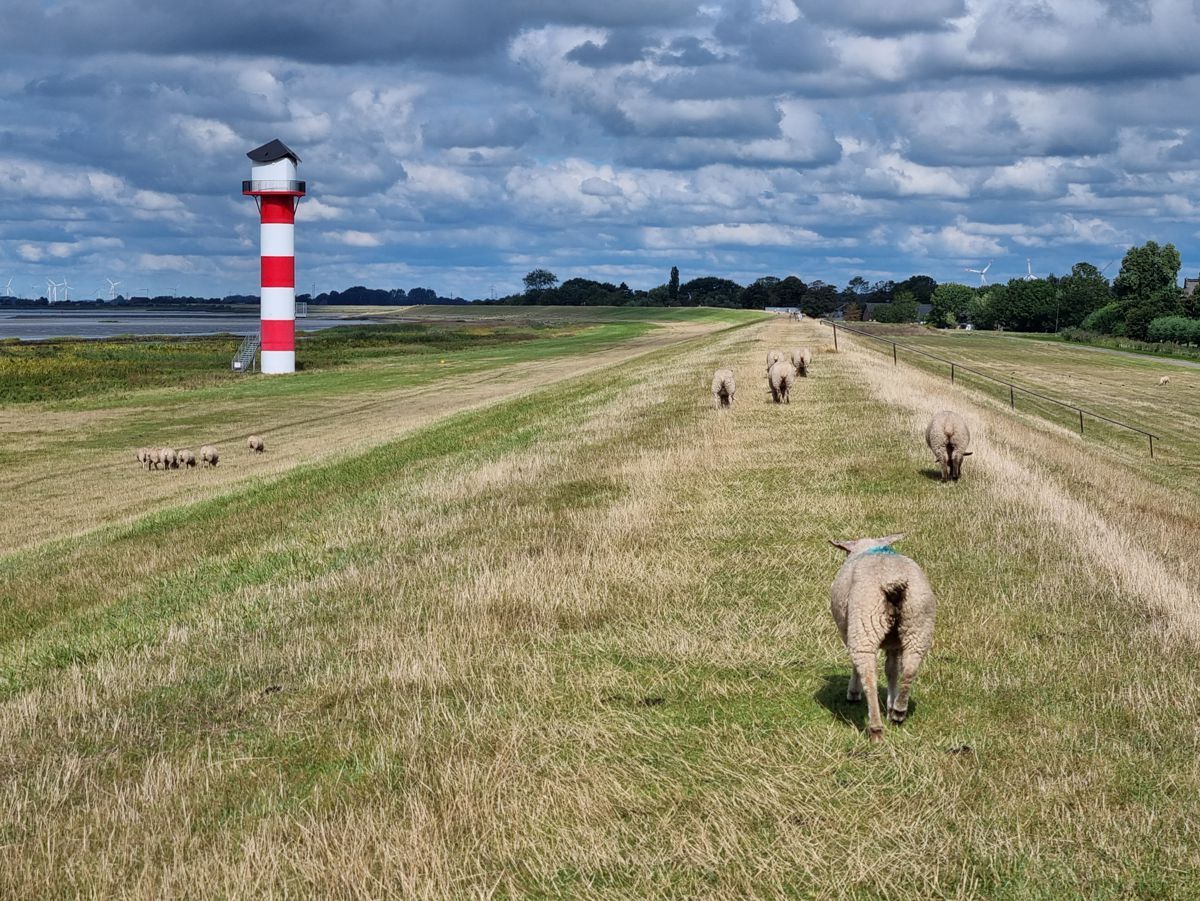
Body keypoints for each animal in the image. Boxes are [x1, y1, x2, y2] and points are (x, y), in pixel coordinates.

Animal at [830, 535, 940, 739]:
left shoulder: (850, 631)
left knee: (869, 677)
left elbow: (857, 666)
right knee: (910, 669)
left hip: (865, 623)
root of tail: (893, 583)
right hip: (918, 622)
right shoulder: (894, 644)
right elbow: (892, 671)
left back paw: (876, 728)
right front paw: (890, 706)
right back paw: (898, 711)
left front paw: (853, 692)